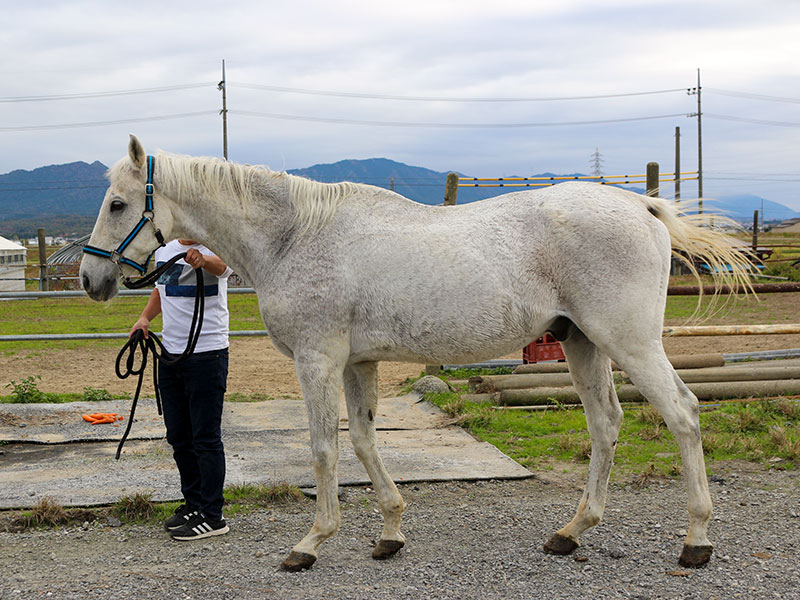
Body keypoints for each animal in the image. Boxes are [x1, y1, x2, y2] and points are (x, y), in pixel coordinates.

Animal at [78, 135, 752, 572]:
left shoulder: (317, 360)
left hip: (627, 342)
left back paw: (695, 541)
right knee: (606, 425)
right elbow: (363, 441)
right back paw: (571, 532)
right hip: (582, 343)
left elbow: (323, 448)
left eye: (117, 203)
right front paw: (390, 532)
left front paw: (310, 544)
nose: (91, 280)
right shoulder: (357, 363)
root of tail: (642, 205)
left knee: (682, 413)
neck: (295, 235)